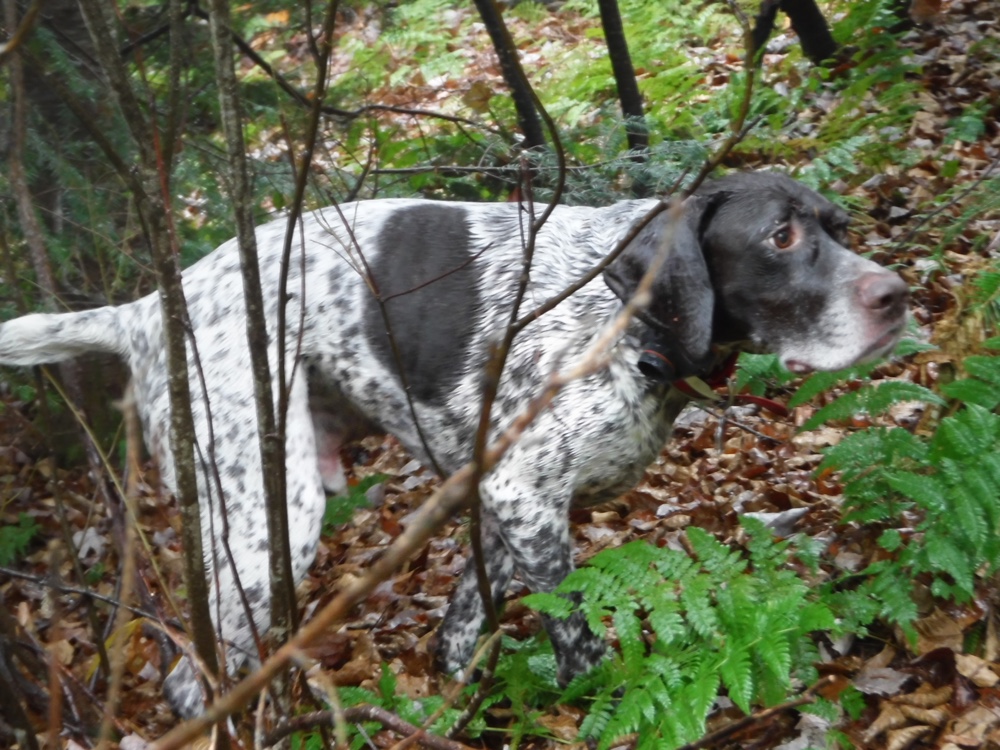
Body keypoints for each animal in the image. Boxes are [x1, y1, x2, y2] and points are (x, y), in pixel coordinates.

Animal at [0, 173, 912, 720]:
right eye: (780, 237)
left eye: (839, 227)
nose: (897, 295)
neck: (625, 328)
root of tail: (147, 307)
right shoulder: (524, 501)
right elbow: (578, 638)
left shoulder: (501, 513)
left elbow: (459, 637)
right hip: (267, 523)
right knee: (192, 680)